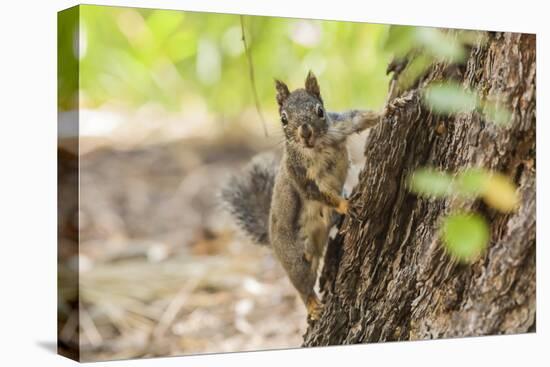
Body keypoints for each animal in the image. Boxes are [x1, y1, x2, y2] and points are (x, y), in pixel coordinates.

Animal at [222, 72, 386, 322]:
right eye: (283, 119)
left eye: (320, 110)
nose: (305, 132)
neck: (316, 146)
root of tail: (272, 240)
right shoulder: (300, 174)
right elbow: (318, 192)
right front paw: (345, 205)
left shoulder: (339, 125)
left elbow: (359, 118)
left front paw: (391, 107)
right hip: (294, 257)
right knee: (302, 285)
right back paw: (313, 306)